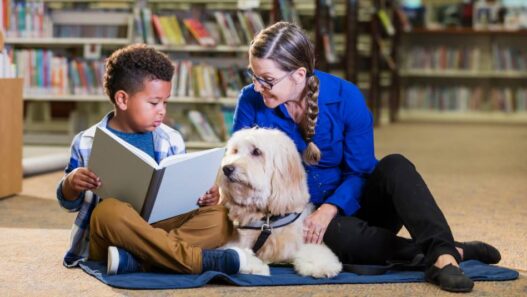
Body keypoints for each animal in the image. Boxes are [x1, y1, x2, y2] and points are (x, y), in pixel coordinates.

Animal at [219, 127, 342, 278]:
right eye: (235, 151)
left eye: (256, 151)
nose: (226, 169)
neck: (268, 218)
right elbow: (233, 252)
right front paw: (256, 266)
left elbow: (314, 251)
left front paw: (322, 265)